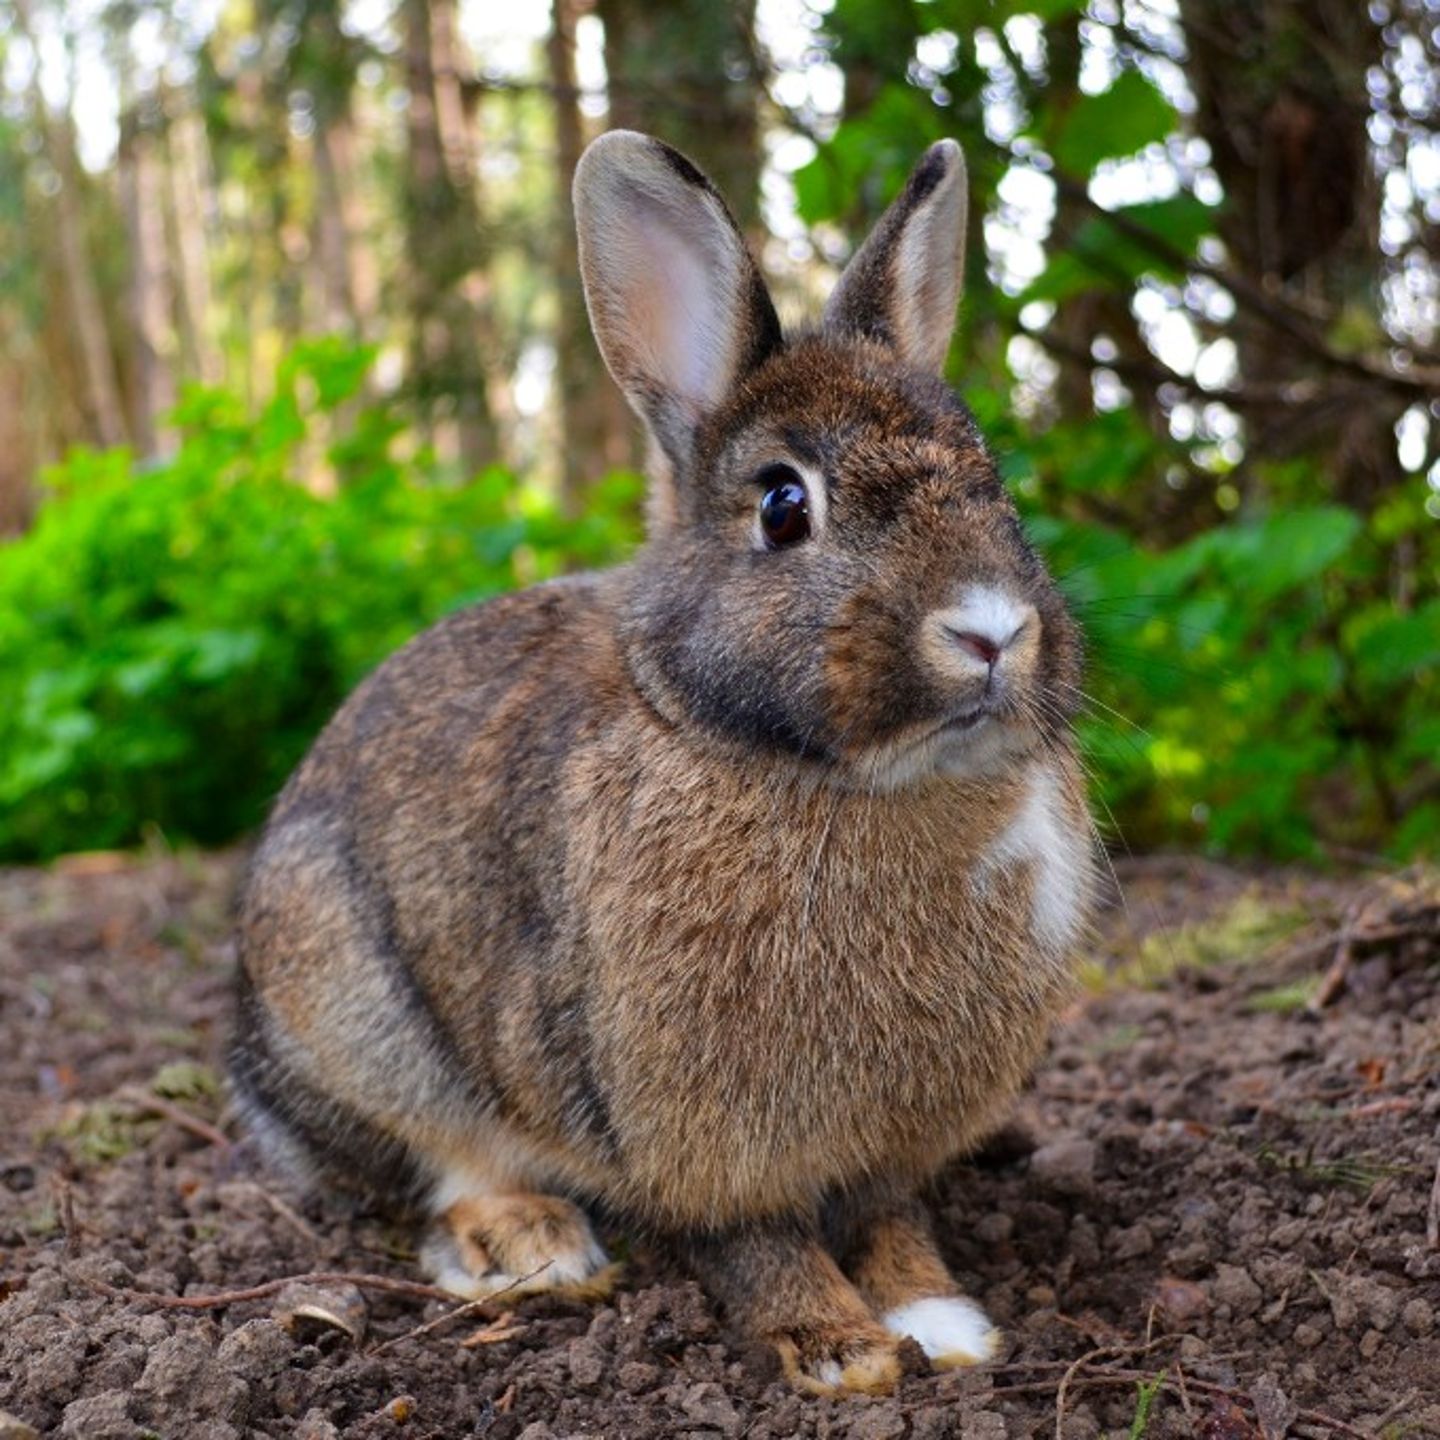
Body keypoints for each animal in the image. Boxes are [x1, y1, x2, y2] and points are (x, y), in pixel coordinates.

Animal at [229, 129, 1096, 1396]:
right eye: (784, 505)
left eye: (997, 485)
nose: (990, 629)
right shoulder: (688, 1129)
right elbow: (754, 1238)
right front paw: (839, 1349)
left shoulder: (891, 1147)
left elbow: (890, 1221)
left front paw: (940, 1320)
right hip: (345, 996)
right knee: (437, 1163)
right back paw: (530, 1244)